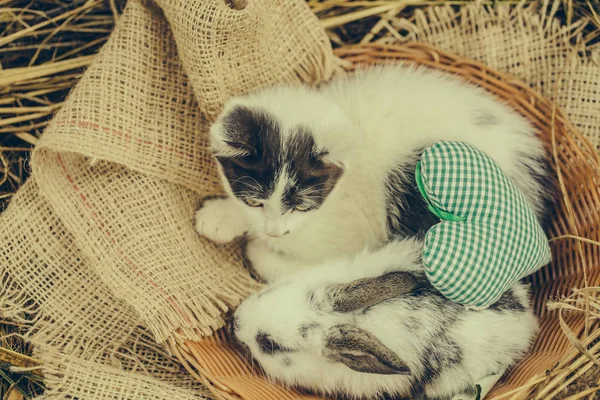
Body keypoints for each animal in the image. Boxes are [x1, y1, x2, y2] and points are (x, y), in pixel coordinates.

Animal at [196, 65, 552, 282]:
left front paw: (254, 246)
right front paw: (223, 217)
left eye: (302, 205)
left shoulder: (347, 233)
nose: (274, 232)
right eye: (254, 201)